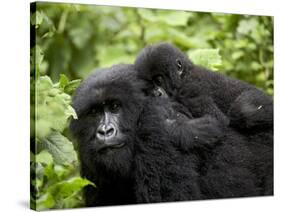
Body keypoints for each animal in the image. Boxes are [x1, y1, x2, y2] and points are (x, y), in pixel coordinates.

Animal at [135, 42, 272, 132]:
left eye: (158, 81)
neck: (185, 75)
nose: (156, 92)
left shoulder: (190, 90)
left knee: (244, 110)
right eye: (148, 85)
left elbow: (218, 120)